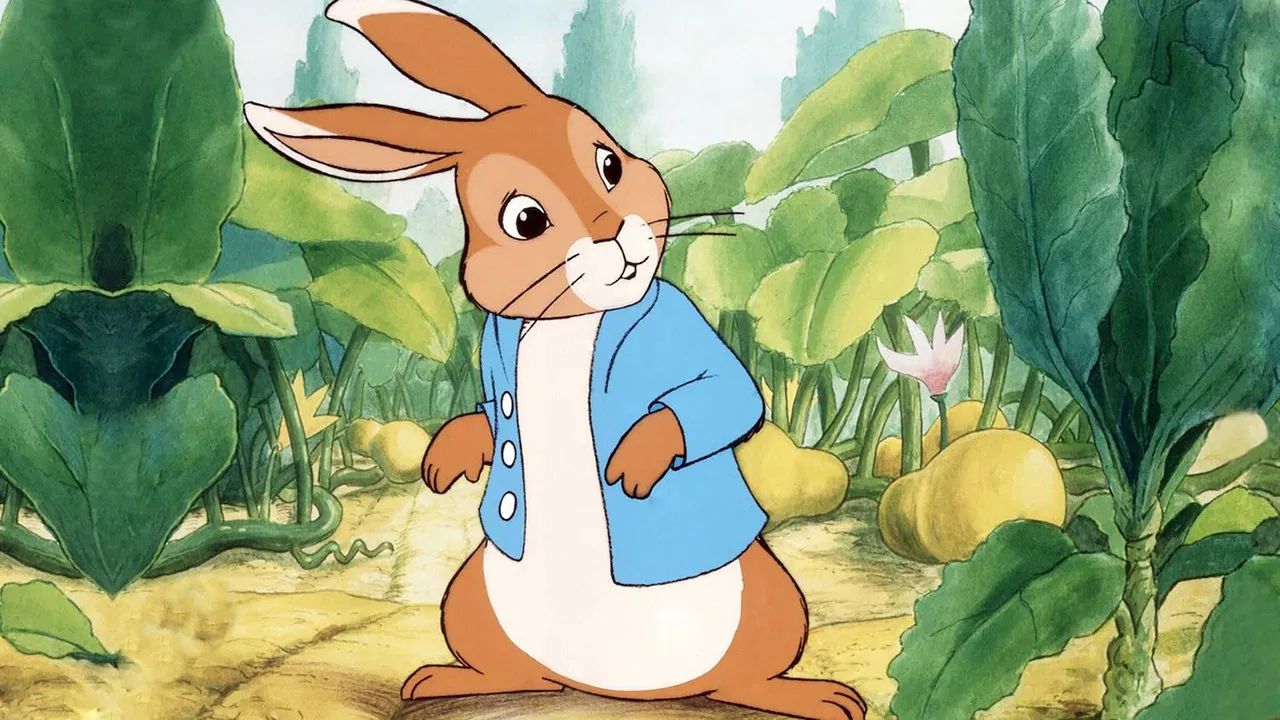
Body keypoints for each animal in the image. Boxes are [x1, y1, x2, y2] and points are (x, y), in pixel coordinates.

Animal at [243, 2, 867, 718]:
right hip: (471, 598)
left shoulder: (681, 325)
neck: (567, 322)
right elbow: (489, 411)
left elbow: (727, 395)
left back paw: (816, 697)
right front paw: (449, 456)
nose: (614, 233)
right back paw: (447, 680)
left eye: (609, 165)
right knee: (519, 671)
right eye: (526, 220)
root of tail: (612, 688)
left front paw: (638, 459)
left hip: (772, 600)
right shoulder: (493, 351)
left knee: (743, 676)